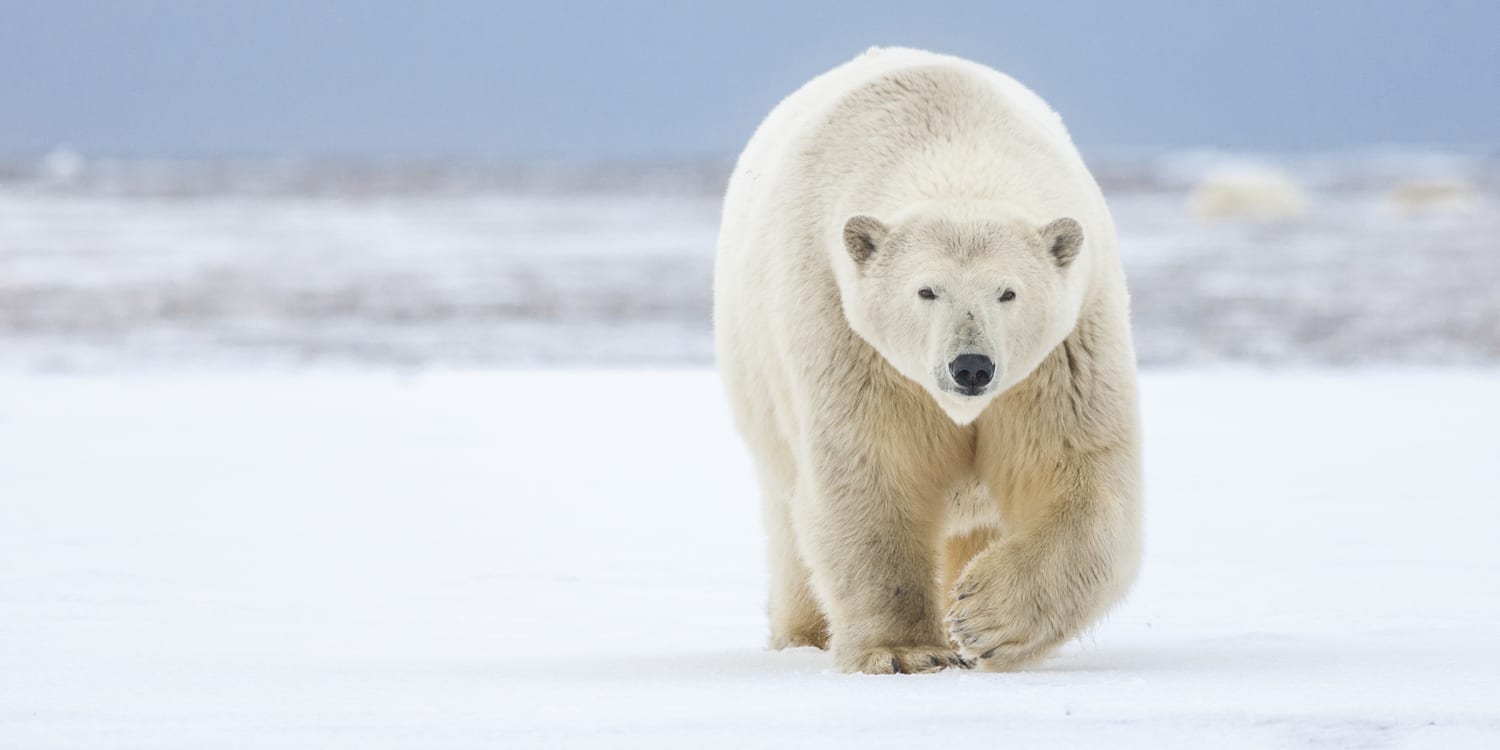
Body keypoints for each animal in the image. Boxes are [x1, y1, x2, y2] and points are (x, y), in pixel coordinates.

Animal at [720, 48, 1140, 675]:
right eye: (926, 290)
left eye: (1008, 292)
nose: (971, 367)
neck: (952, 142)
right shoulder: (846, 332)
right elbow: (872, 470)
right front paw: (904, 650)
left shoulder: (1066, 351)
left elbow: (1078, 470)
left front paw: (982, 618)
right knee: (791, 522)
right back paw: (803, 634)